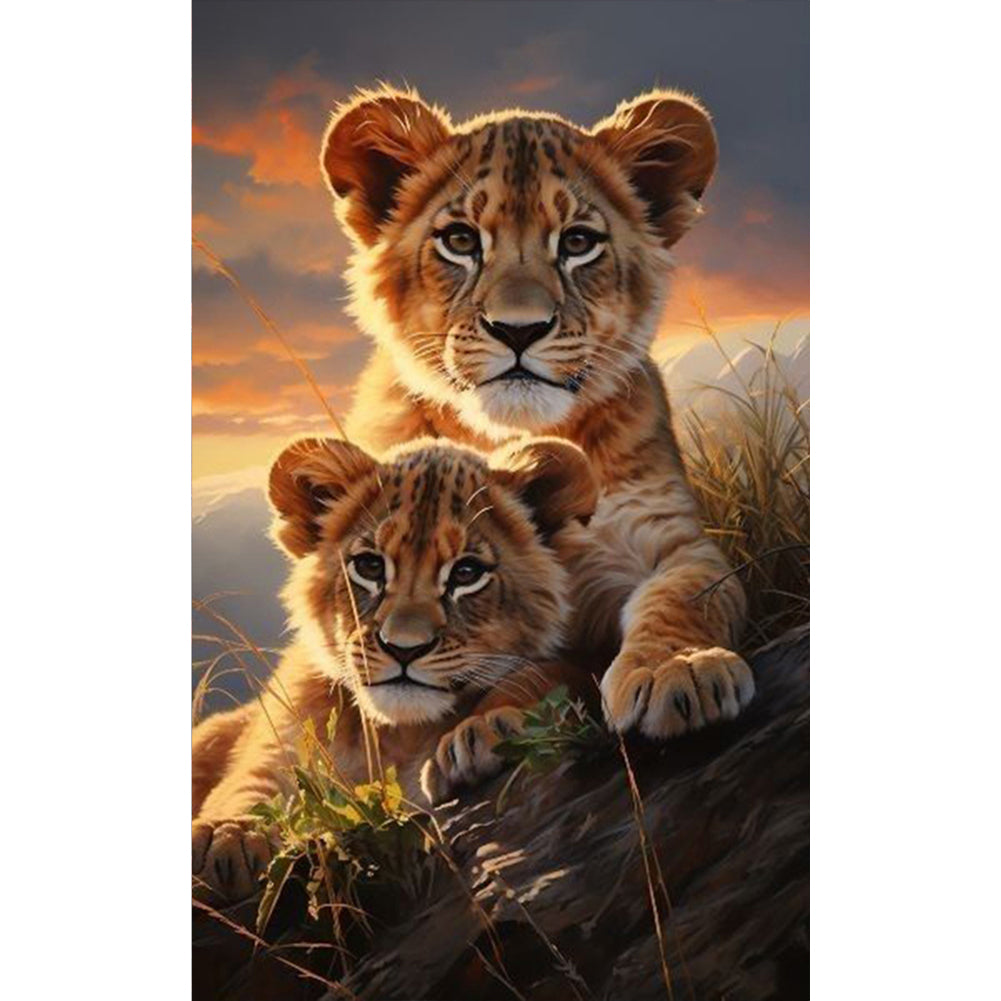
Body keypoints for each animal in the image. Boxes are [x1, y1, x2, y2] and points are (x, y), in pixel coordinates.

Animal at [192, 435, 596, 901]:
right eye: (369, 566)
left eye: (467, 572)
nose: (404, 648)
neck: (396, 734)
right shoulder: (278, 744)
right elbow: (248, 786)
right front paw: (225, 836)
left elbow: (545, 676)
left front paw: (485, 731)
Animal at [318, 85, 755, 742]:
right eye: (461, 240)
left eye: (577, 242)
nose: (518, 329)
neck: (517, 435)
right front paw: (480, 730)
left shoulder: (669, 539)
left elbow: (687, 595)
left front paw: (679, 669)